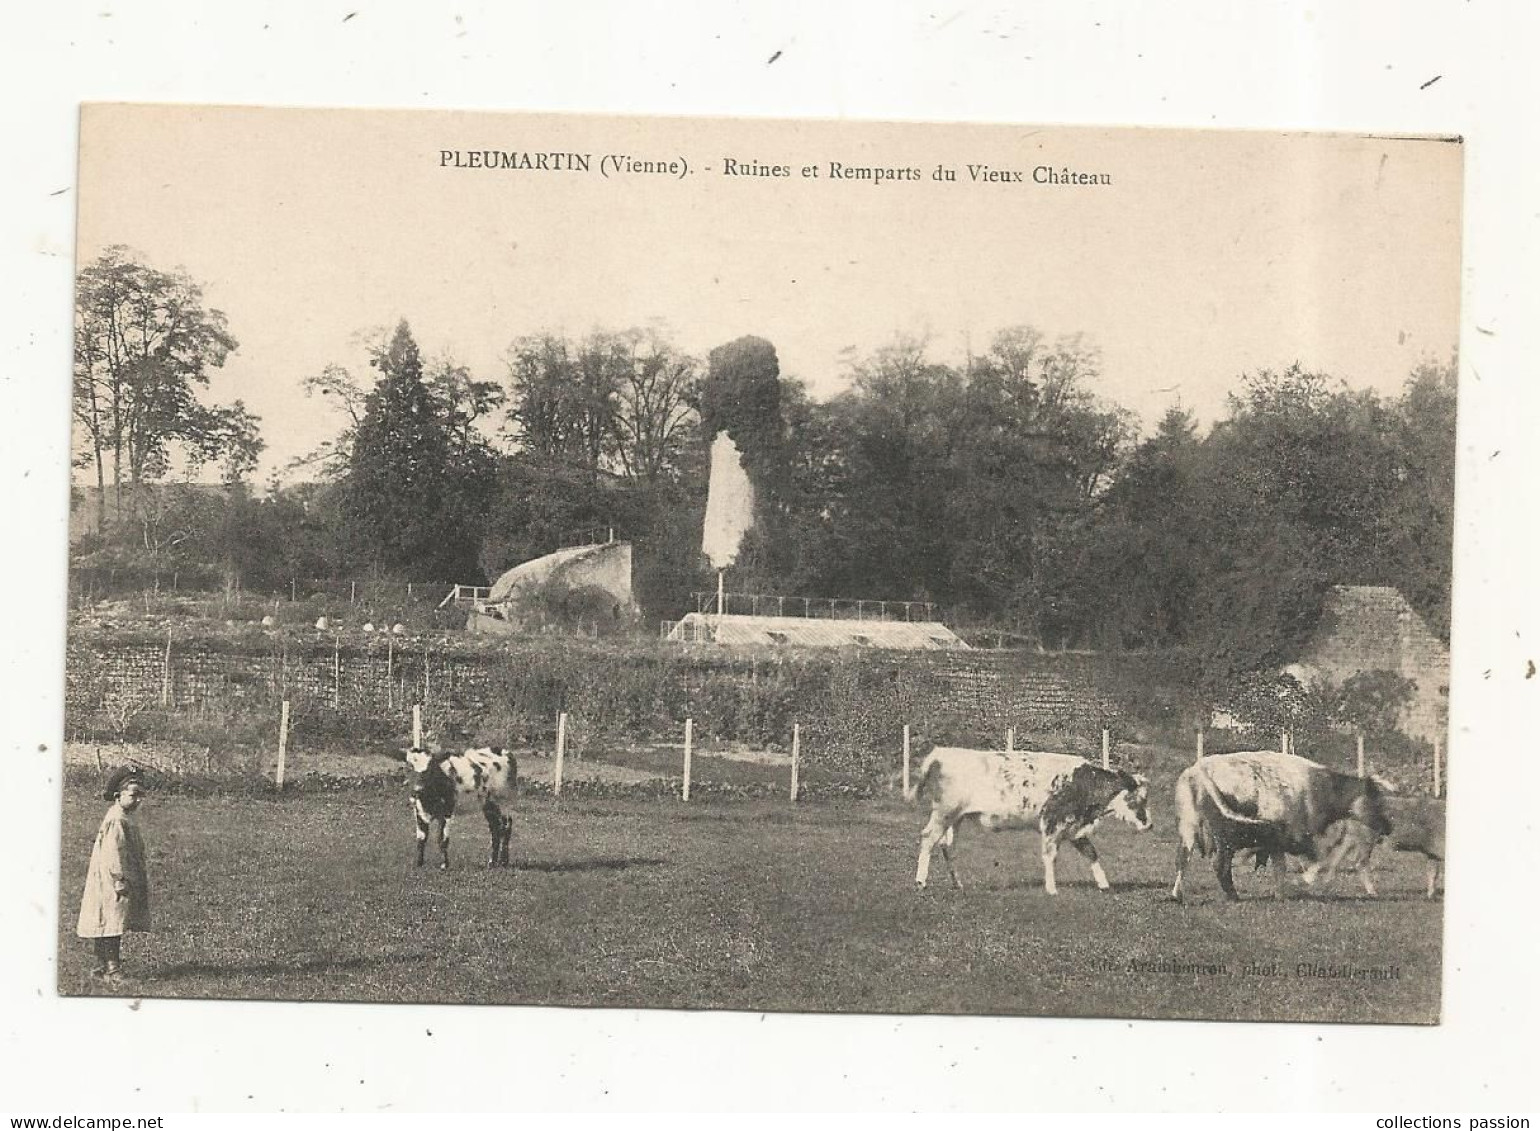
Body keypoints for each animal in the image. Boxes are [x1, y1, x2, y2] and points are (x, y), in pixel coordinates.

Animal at [388, 748, 520, 875]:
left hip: (504, 800)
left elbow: (442, 839)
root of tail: (505, 751)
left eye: (429, 770)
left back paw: (503, 861)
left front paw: (444, 865)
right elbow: (421, 839)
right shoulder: (418, 812)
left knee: (506, 826)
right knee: (495, 829)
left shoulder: (447, 810)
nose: (416, 791)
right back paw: (492, 862)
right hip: (488, 805)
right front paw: (419, 864)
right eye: (409, 768)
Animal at [905, 748, 1151, 899]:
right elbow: (1050, 857)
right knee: (928, 838)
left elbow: (1091, 853)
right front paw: (1051, 889)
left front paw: (1104, 884)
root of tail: (943, 752)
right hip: (944, 813)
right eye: (1135, 798)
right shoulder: (1052, 822)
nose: (1148, 825)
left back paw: (958, 884)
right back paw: (920, 882)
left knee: (947, 846)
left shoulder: (1074, 828)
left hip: (956, 818)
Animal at [1170, 751, 1392, 906]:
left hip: (1188, 827)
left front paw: (1281, 893)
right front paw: (1303, 881)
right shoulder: (1292, 837)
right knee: (1220, 865)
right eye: (1376, 800)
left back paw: (1177, 895)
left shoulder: (1277, 842)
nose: (1388, 827)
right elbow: (1315, 860)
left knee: (1183, 859)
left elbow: (1281, 867)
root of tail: (1198, 770)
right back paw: (1233, 896)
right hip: (1225, 837)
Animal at [1312, 795, 1441, 899]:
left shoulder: (1433, 854)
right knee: (1360, 862)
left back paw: (1326, 881)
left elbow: (1433, 872)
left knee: (1338, 856)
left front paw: (1431, 894)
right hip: (1366, 840)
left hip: (1351, 837)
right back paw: (1373, 892)